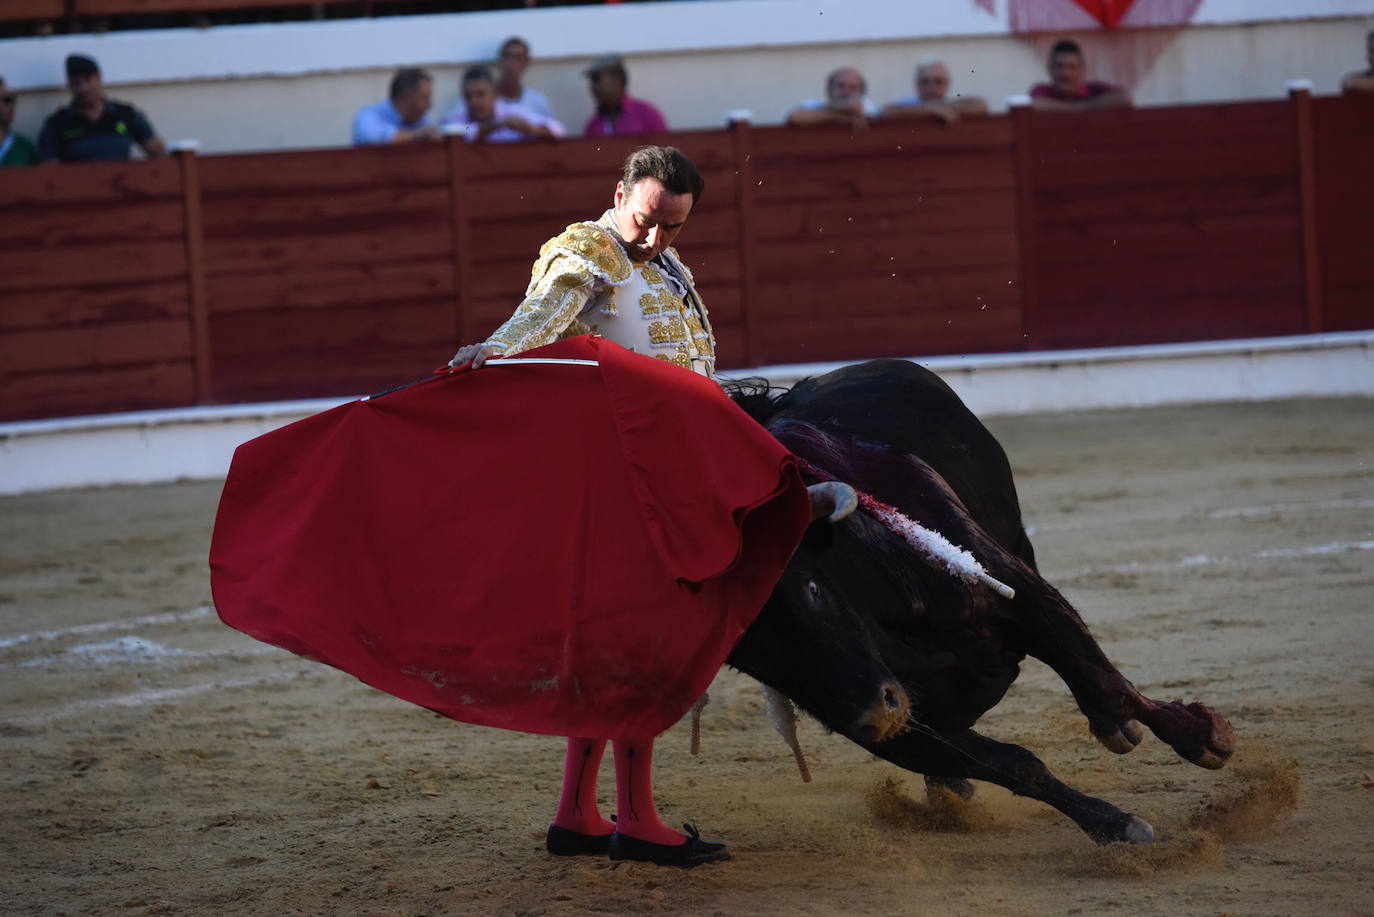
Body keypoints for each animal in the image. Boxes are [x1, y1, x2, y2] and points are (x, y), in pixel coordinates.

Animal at [719, 357, 1236, 846]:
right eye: (754, 659)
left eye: (812, 590)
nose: (872, 714)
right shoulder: (898, 728)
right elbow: (1012, 765)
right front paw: (1115, 826)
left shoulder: (1019, 596)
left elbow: (1100, 677)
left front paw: (1204, 737)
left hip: (1014, 541)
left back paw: (1117, 725)